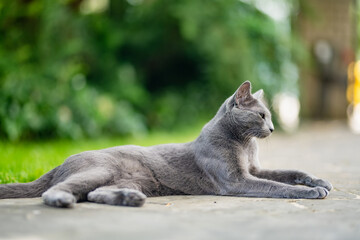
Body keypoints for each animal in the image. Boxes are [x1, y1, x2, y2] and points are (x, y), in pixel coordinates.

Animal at [0, 81, 332, 207]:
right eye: (262, 116)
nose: (273, 128)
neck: (246, 143)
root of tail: (60, 162)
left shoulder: (254, 169)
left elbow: (288, 172)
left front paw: (320, 181)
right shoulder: (237, 180)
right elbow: (279, 186)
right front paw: (311, 191)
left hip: (128, 179)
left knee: (93, 193)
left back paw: (129, 198)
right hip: (99, 169)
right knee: (57, 190)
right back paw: (62, 200)